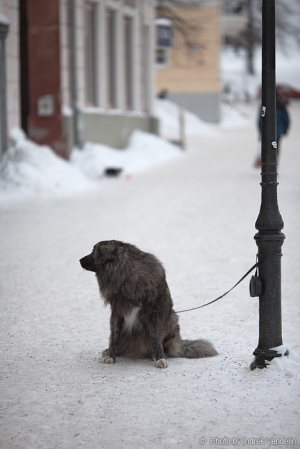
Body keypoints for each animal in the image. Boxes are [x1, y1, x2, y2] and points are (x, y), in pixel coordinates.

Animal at [78, 240, 217, 366]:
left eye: (93, 251)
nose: (79, 260)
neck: (127, 275)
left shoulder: (153, 312)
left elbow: (156, 337)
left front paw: (159, 358)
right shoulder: (117, 312)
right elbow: (114, 336)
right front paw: (111, 355)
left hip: (172, 318)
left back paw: (157, 354)